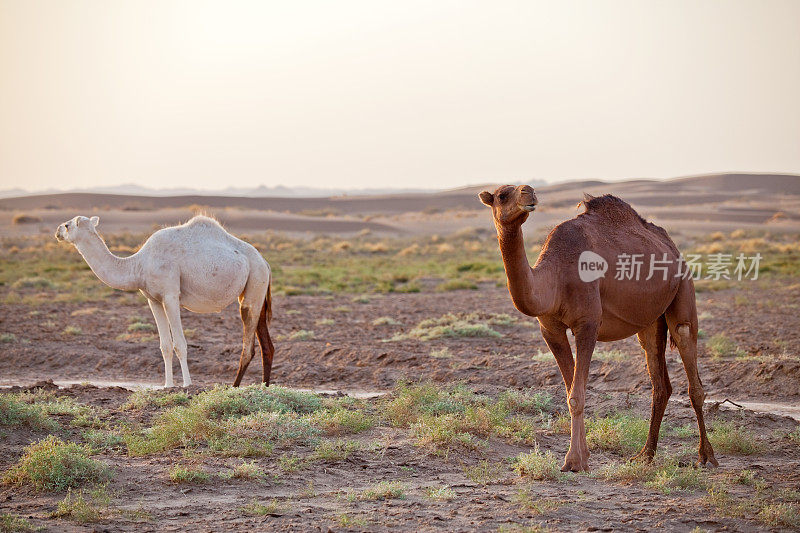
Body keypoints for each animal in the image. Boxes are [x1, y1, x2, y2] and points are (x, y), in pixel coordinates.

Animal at [56, 215, 276, 386]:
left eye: (68, 225)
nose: (57, 231)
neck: (139, 264)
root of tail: (265, 262)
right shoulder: (153, 300)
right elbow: (165, 346)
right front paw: (167, 385)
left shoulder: (170, 295)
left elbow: (180, 344)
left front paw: (187, 384)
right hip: (256, 290)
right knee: (266, 345)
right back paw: (264, 387)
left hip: (255, 280)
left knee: (248, 347)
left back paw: (234, 387)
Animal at [482, 185, 720, 472]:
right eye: (502, 195)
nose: (528, 192)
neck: (554, 278)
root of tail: (673, 248)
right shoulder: (550, 329)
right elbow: (571, 391)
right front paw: (583, 456)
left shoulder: (588, 323)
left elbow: (577, 396)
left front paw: (574, 461)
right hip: (651, 322)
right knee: (660, 384)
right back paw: (645, 455)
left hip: (683, 289)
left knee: (691, 365)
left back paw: (706, 456)